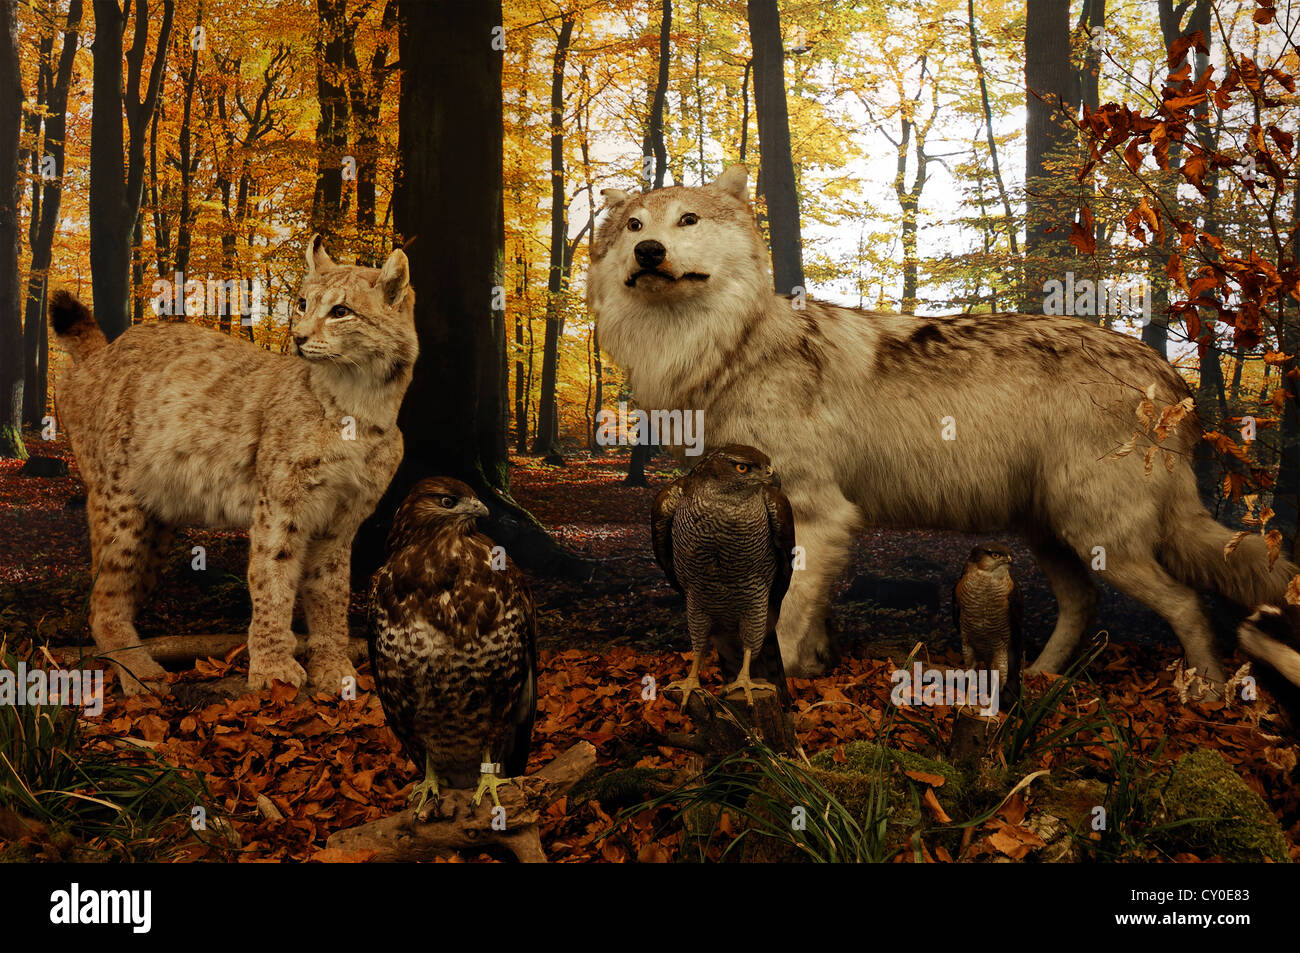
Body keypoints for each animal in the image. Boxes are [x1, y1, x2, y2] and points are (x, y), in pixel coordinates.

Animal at [51, 236, 417, 695]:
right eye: (302, 304)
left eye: (340, 312)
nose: (298, 338)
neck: (362, 406)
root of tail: (105, 350)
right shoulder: (280, 506)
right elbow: (272, 578)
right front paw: (273, 670)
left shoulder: (342, 519)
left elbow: (331, 592)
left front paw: (333, 667)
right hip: (116, 496)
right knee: (101, 597)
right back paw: (139, 671)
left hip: (155, 518)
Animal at [587, 164, 1300, 697]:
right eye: (634, 226)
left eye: (688, 221)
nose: (649, 250)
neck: (727, 349)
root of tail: (1169, 376)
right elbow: (806, 614)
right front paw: (814, 668)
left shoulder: (819, 515)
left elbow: (784, 620)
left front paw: (782, 684)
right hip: (1054, 535)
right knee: (1086, 605)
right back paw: (1039, 678)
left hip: (1099, 536)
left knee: (1187, 605)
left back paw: (1208, 694)